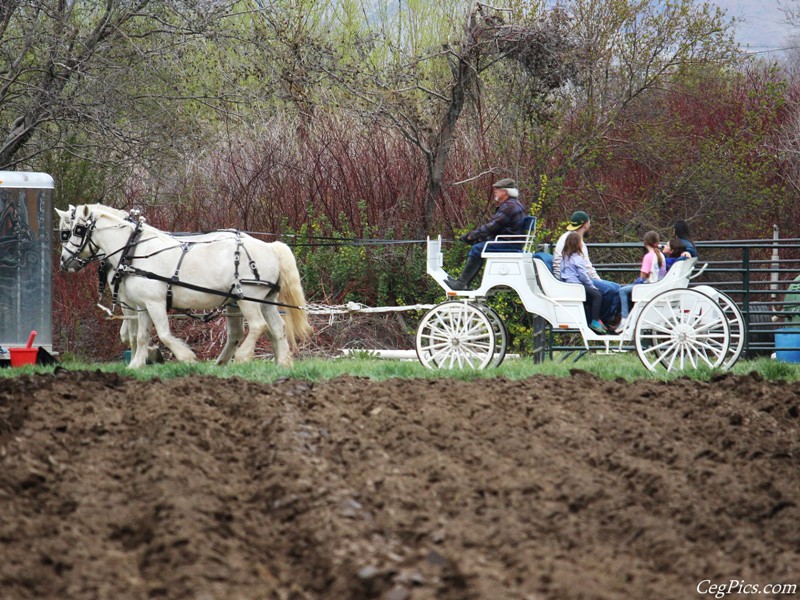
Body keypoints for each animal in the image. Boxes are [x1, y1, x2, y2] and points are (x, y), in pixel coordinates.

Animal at [56, 204, 310, 368]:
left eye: (76, 230)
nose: (64, 261)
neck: (133, 250)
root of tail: (269, 246)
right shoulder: (142, 306)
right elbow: (141, 335)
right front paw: (137, 365)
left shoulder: (152, 303)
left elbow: (162, 334)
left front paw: (185, 357)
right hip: (264, 299)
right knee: (276, 328)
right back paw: (282, 363)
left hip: (248, 297)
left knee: (257, 326)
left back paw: (243, 357)